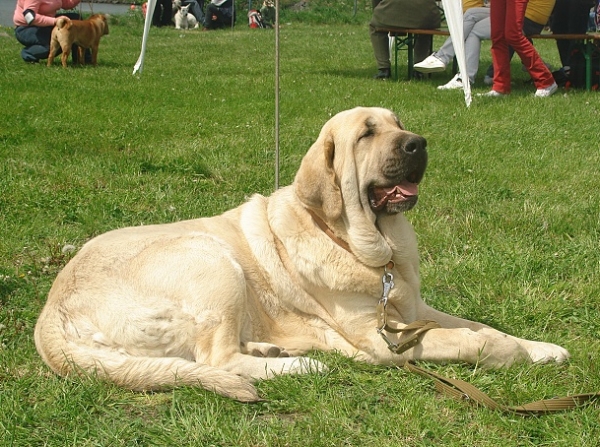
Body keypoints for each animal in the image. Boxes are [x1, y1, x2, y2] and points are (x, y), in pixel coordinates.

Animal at [35, 108, 568, 402]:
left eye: (398, 125)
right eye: (368, 133)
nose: (418, 143)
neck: (370, 250)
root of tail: (49, 316)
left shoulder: (413, 308)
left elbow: (478, 327)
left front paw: (542, 348)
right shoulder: (379, 340)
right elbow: (469, 341)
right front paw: (512, 352)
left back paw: (273, 350)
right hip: (209, 258)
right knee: (218, 359)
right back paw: (300, 365)